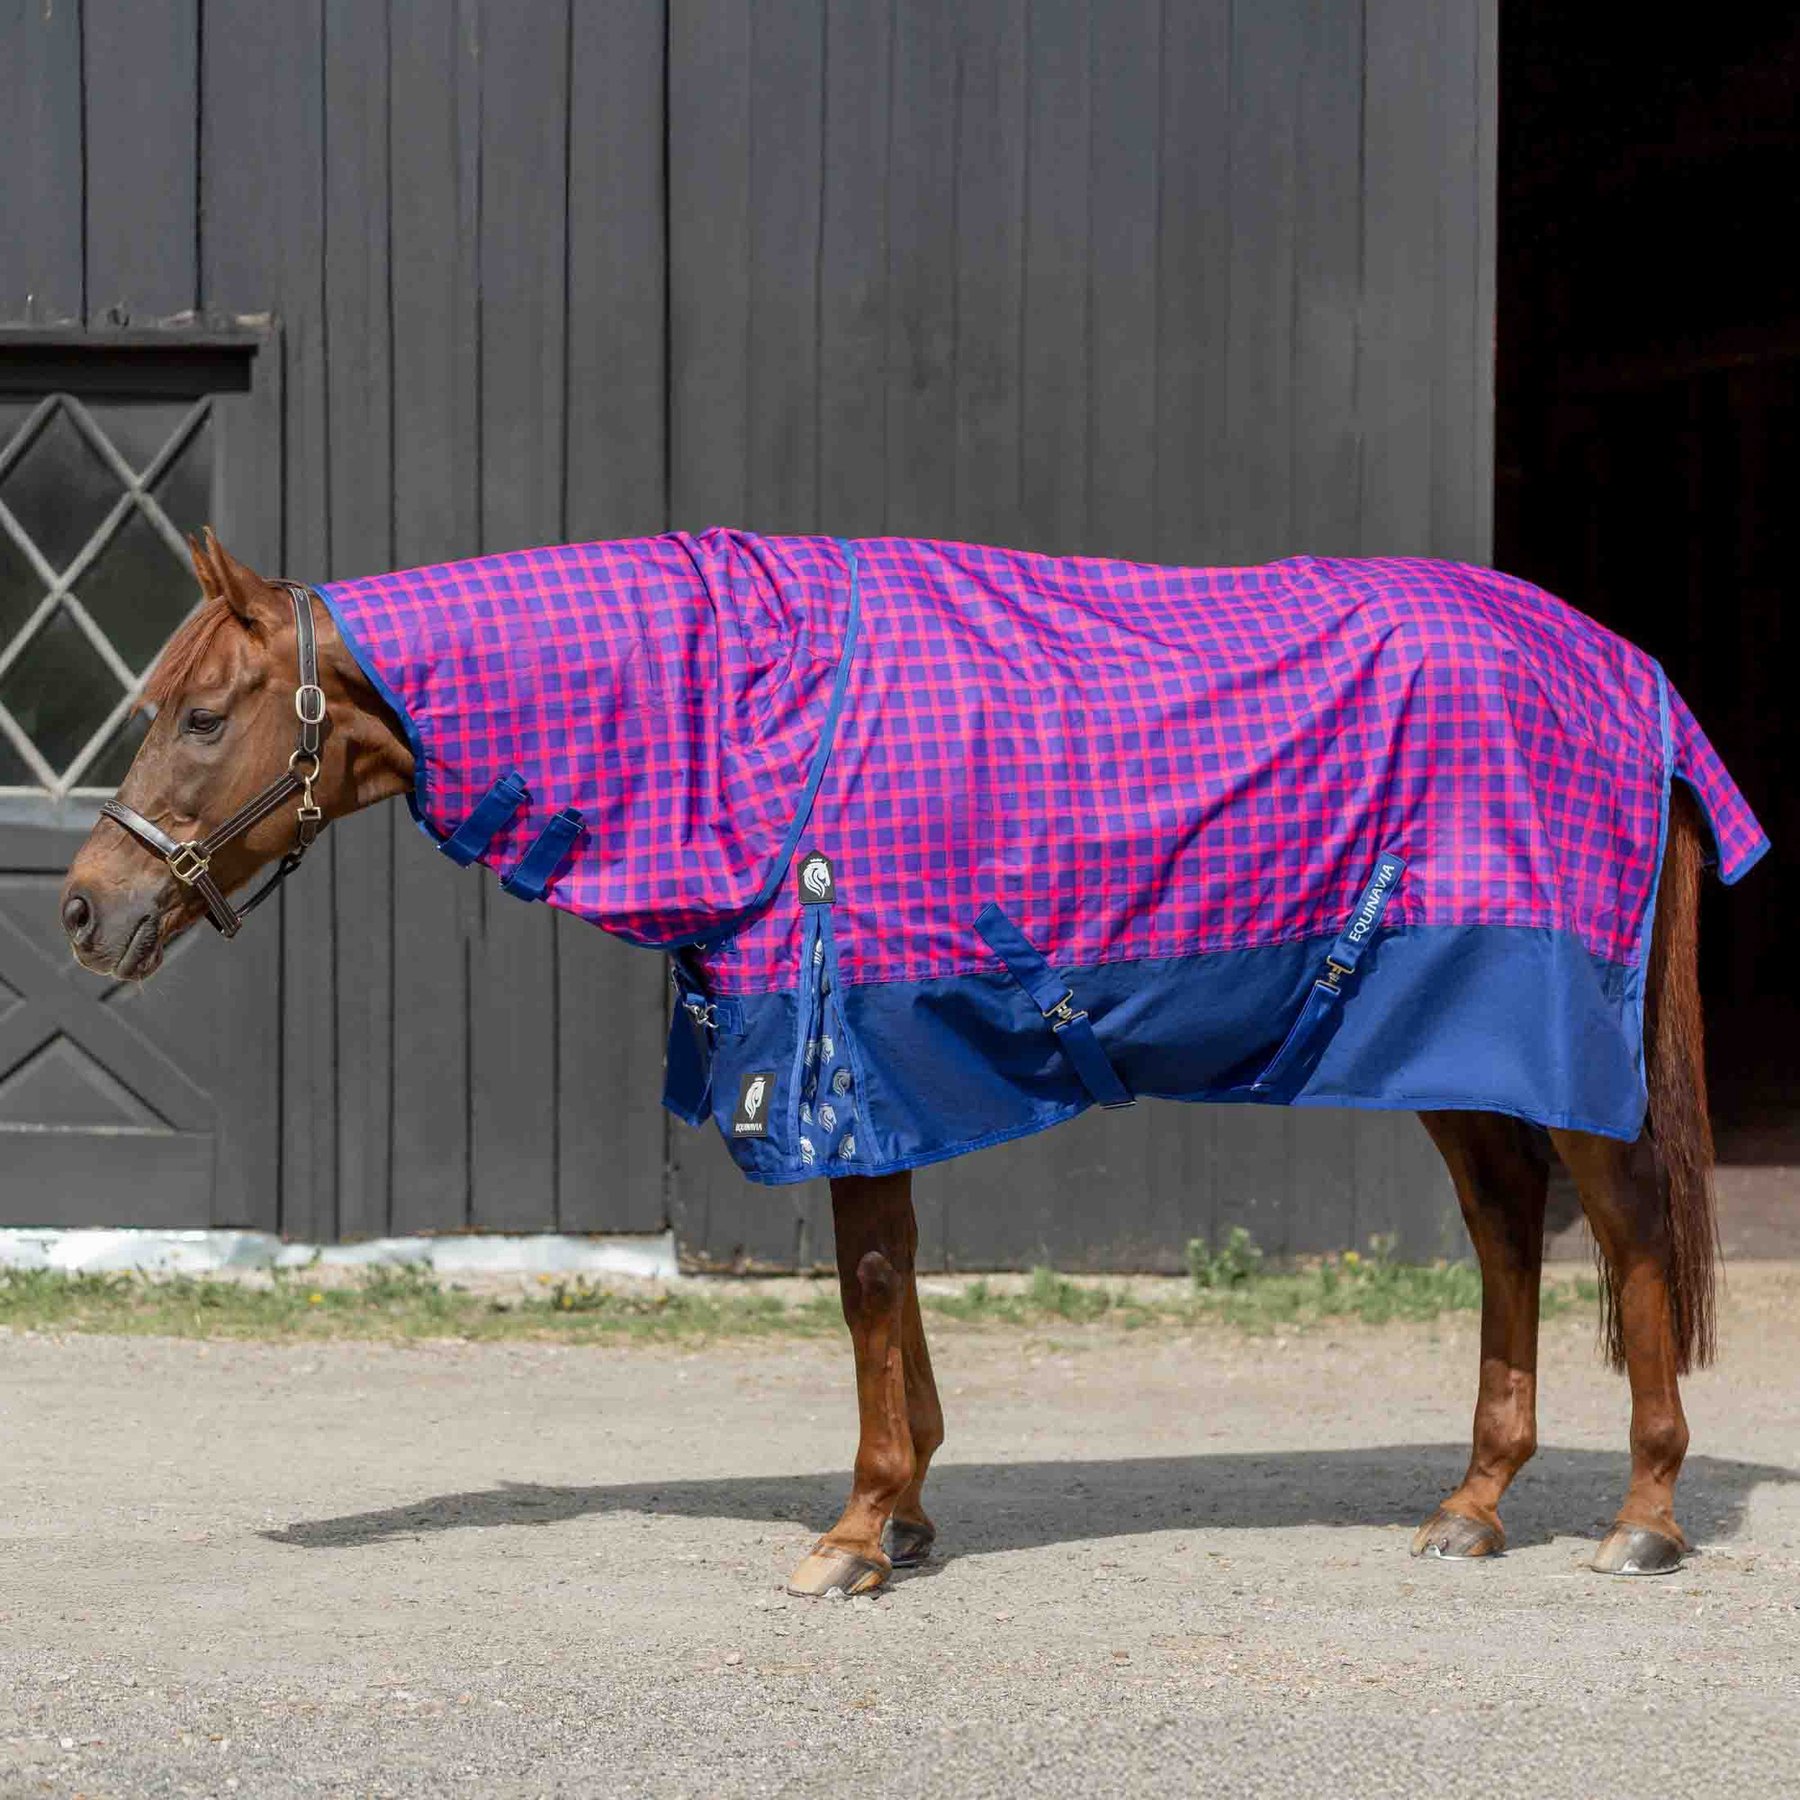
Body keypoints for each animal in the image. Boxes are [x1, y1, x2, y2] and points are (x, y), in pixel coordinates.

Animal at [61, 527, 1739, 1595]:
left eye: (201, 716)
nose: (85, 907)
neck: (743, 716)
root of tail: (1639, 680)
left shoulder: (850, 1050)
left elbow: (869, 1289)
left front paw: (860, 1535)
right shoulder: (880, 1067)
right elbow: (900, 1284)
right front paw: (914, 1507)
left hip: (1550, 1044)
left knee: (1631, 1232)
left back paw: (1645, 1514)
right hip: (1453, 1050)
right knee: (1509, 1230)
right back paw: (1475, 1504)